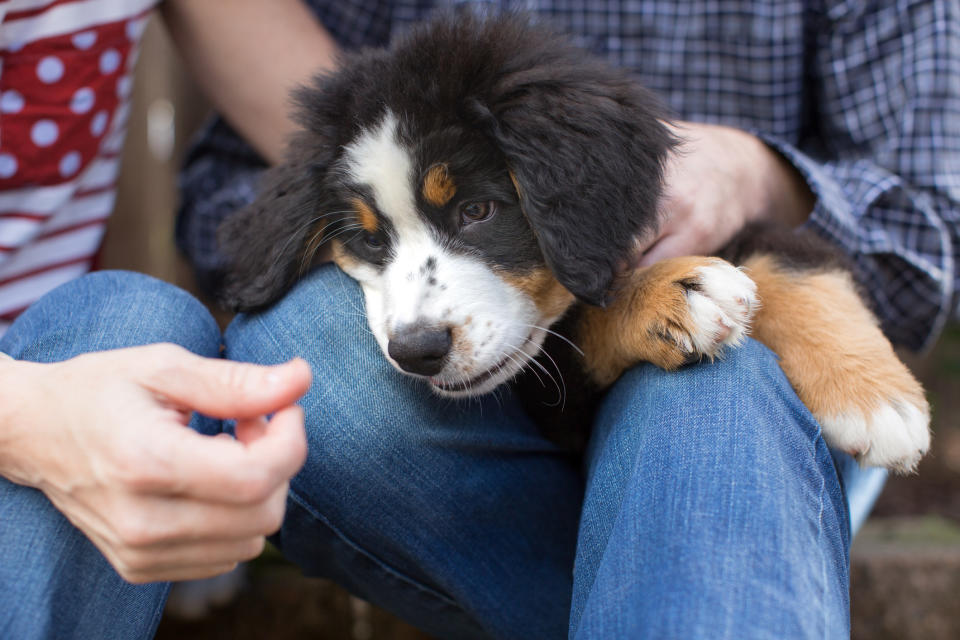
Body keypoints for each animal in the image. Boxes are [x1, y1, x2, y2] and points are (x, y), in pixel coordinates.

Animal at [216, 10, 928, 470]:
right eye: (368, 242)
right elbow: (579, 329)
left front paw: (875, 401)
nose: (416, 351)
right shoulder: (555, 406)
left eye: (478, 210)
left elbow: (798, 262)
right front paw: (671, 292)